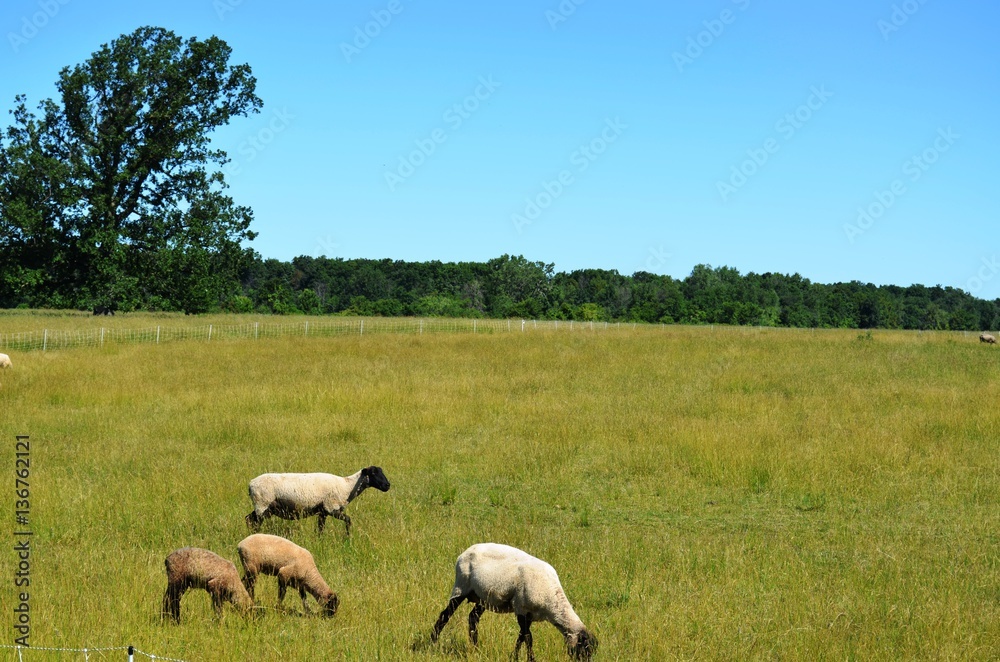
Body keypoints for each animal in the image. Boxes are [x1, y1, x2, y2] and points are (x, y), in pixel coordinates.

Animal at [244, 470, 392, 536]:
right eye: (373, 473)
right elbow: (348, 520)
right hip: (262, 504)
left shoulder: (323, 512)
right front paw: (347, 538)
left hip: (265, 508)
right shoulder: (331, 508)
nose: (387, 485)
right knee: (254, 521)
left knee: (248, 518)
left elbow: (321, 528)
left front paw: (320, 541)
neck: (347, 486)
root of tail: (251, 484)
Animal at [432, 544, 600, 662]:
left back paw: (475, 648)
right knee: (445, 616)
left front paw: (514, 656)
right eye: (583, 650)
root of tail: (465, 552)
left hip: (483, 597)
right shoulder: (521, 608)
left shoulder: (529, 615)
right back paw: (433, 642)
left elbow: (521, 636)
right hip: (461, 587)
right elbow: (528, 638)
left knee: (473, 618)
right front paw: (531, 659)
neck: (552, 601)